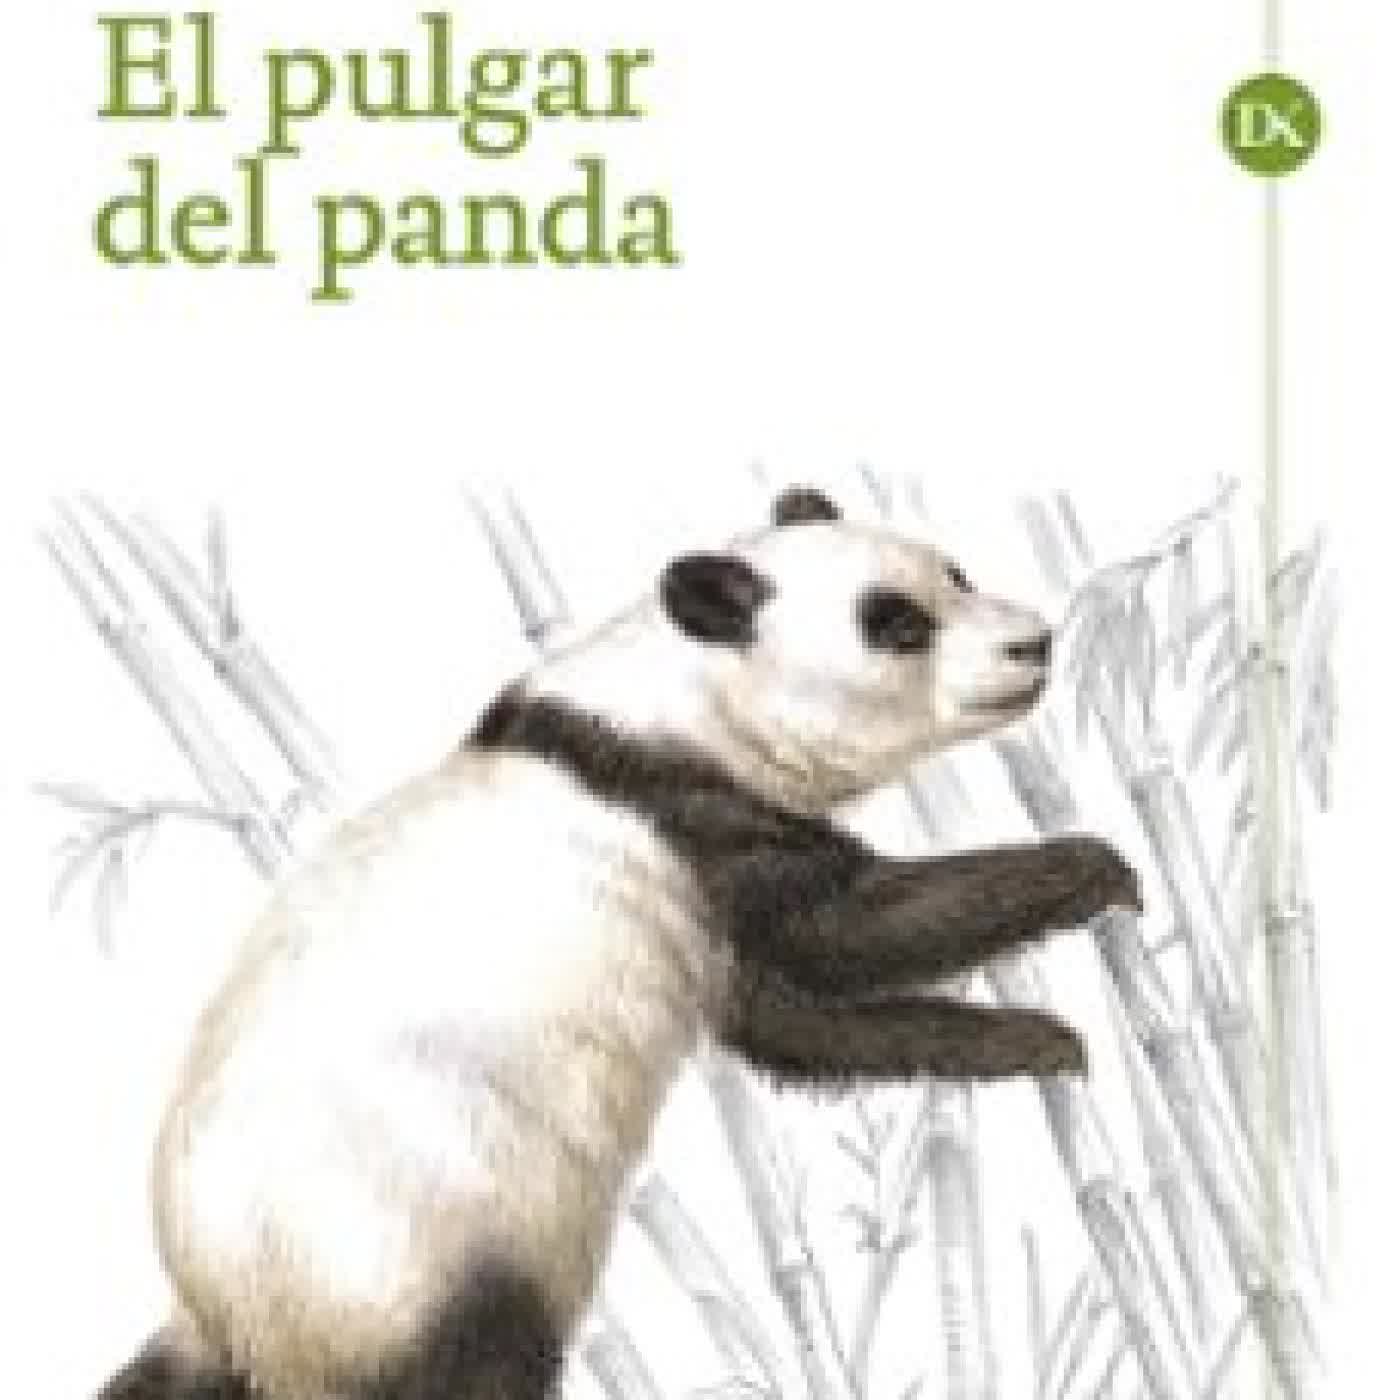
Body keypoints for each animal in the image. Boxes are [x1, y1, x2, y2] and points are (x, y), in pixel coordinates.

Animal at [97, 486, 1140, 1400]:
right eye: (897, 625)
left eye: (955, 572)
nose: (1034, 641)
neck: (673, 695)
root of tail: (243, 1325)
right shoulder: (689, 818)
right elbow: (855, 929)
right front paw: (1093, 876)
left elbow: (798, 1023)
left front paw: (1035, 1038)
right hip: (425, 1242)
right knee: (477, 1359)